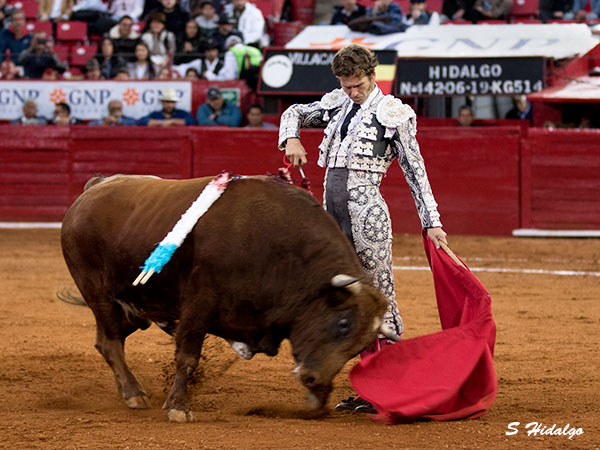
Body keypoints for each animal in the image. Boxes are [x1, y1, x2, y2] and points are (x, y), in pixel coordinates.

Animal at [59, 175, 390, 422]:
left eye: (360, 346)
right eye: (344, 323)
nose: (312, 379)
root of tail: (94, 188)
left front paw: (317, 400)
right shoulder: (199, 303)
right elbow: (188, 357)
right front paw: (178, 407)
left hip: (133, 308)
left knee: (108, 340)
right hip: (99, 294)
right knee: (111, 343)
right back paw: (133, 394)